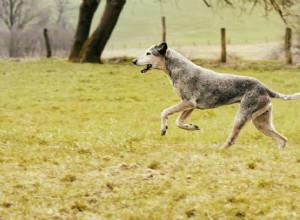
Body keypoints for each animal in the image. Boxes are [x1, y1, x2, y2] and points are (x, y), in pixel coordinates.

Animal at [133, 42, 300, 150]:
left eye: (148, 53)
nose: (134, 60)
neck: (176, 68)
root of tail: (264, 88)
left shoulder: (188, 102)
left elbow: (164, 113)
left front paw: (163, 128)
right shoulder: (190, 106)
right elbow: (179, 122)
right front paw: (191, 127)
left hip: (241, 117)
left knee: (231, 140)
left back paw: (220, 149)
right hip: (261, 123)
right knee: (282, 139)